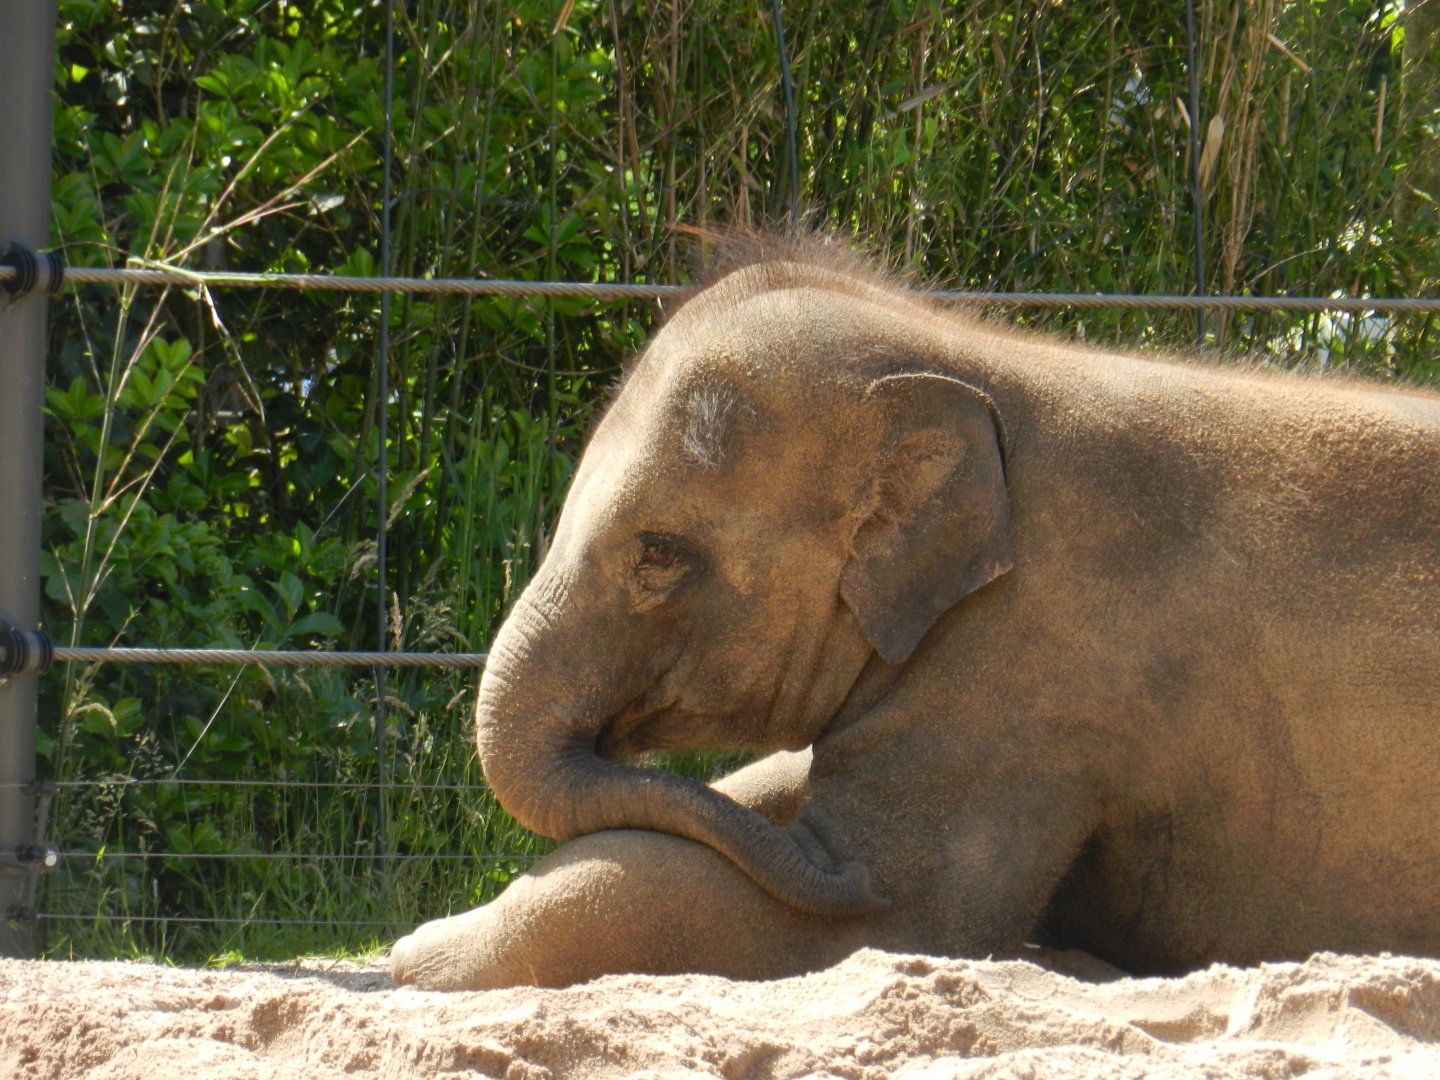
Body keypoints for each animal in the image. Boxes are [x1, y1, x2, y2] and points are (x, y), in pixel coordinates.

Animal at [390, 240, 1440, 990]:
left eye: (658, 555)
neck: (971, 355)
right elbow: (765, 796)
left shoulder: (1034, 665)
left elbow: (903, 917)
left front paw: (420, 960)